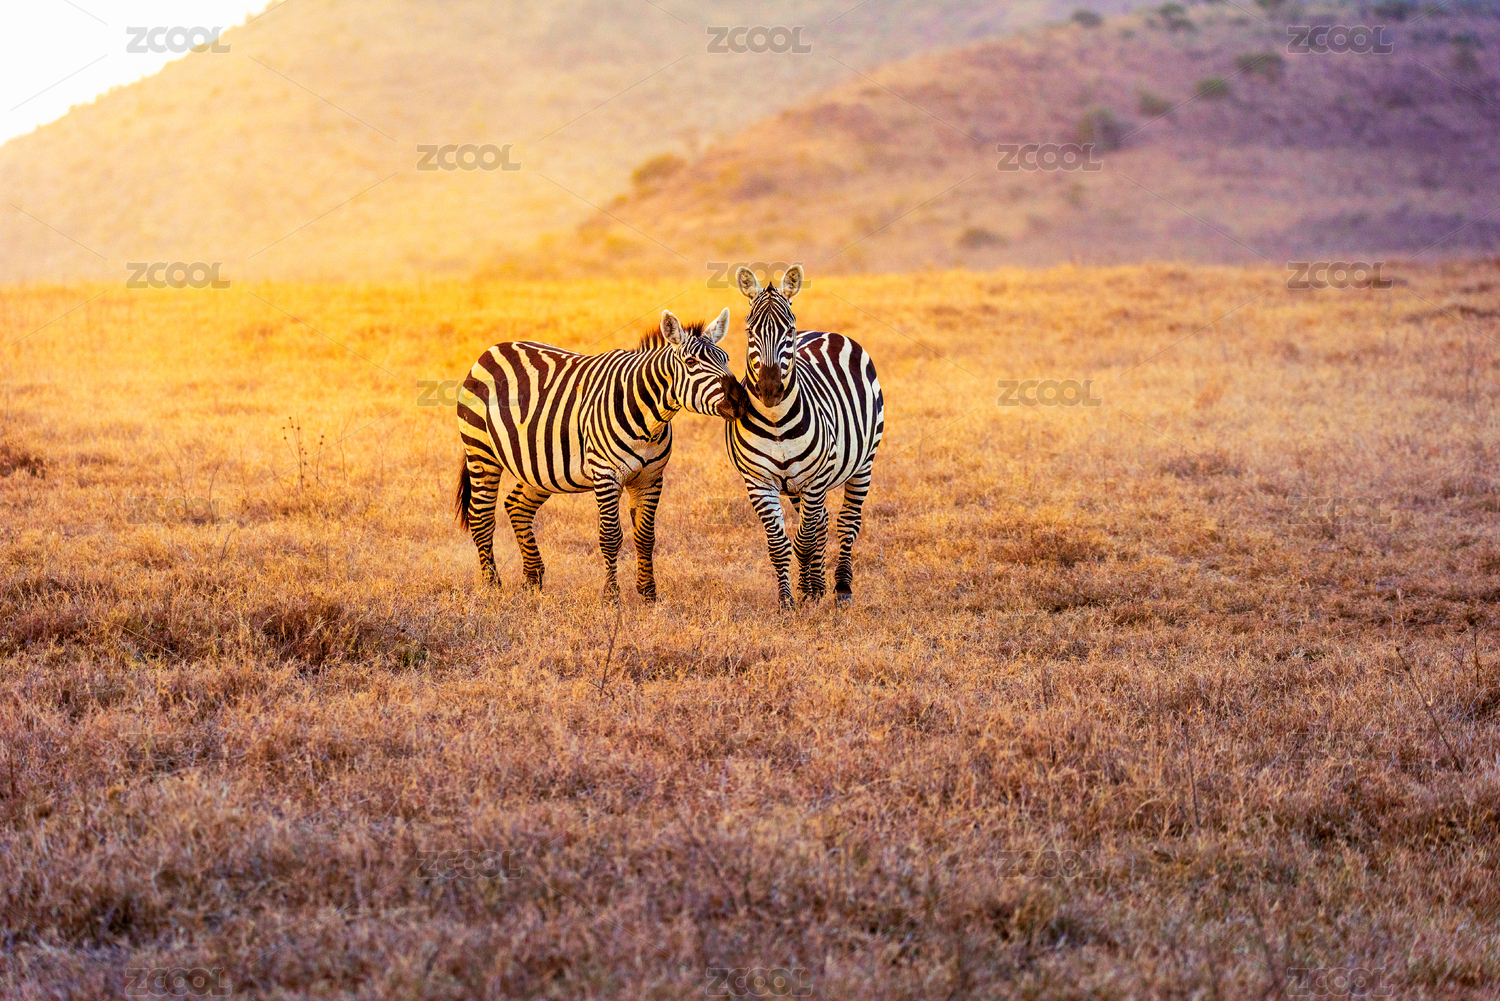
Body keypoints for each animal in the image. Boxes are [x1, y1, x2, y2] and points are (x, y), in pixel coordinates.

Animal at [455, 308, 744, 602]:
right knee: (481, 516)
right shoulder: (606, 475)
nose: (741, 401)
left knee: (517, 506)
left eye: (726, 359)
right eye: (691, 362)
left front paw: (648, 594)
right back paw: (492, 585)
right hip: (481, 451)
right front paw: (611, 596)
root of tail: (493, 349)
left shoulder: (651, 478)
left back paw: (533, 579)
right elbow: (611, 536)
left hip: (539, 467)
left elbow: (645, 536)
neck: (649, 419)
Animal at [725, 265, 884, 608]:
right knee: (822, 521)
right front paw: (789, 598)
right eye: (749, 332)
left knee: (846, 522)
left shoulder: (815, 479)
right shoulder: (759, 481)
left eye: (788, 331)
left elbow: (804, 540)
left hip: (862, 464)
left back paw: (841, 587)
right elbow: (779, 544)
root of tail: (826, 333)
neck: (776, 423)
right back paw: (816, 585)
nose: (769, 390)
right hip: (800, 485)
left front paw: (808, 592)